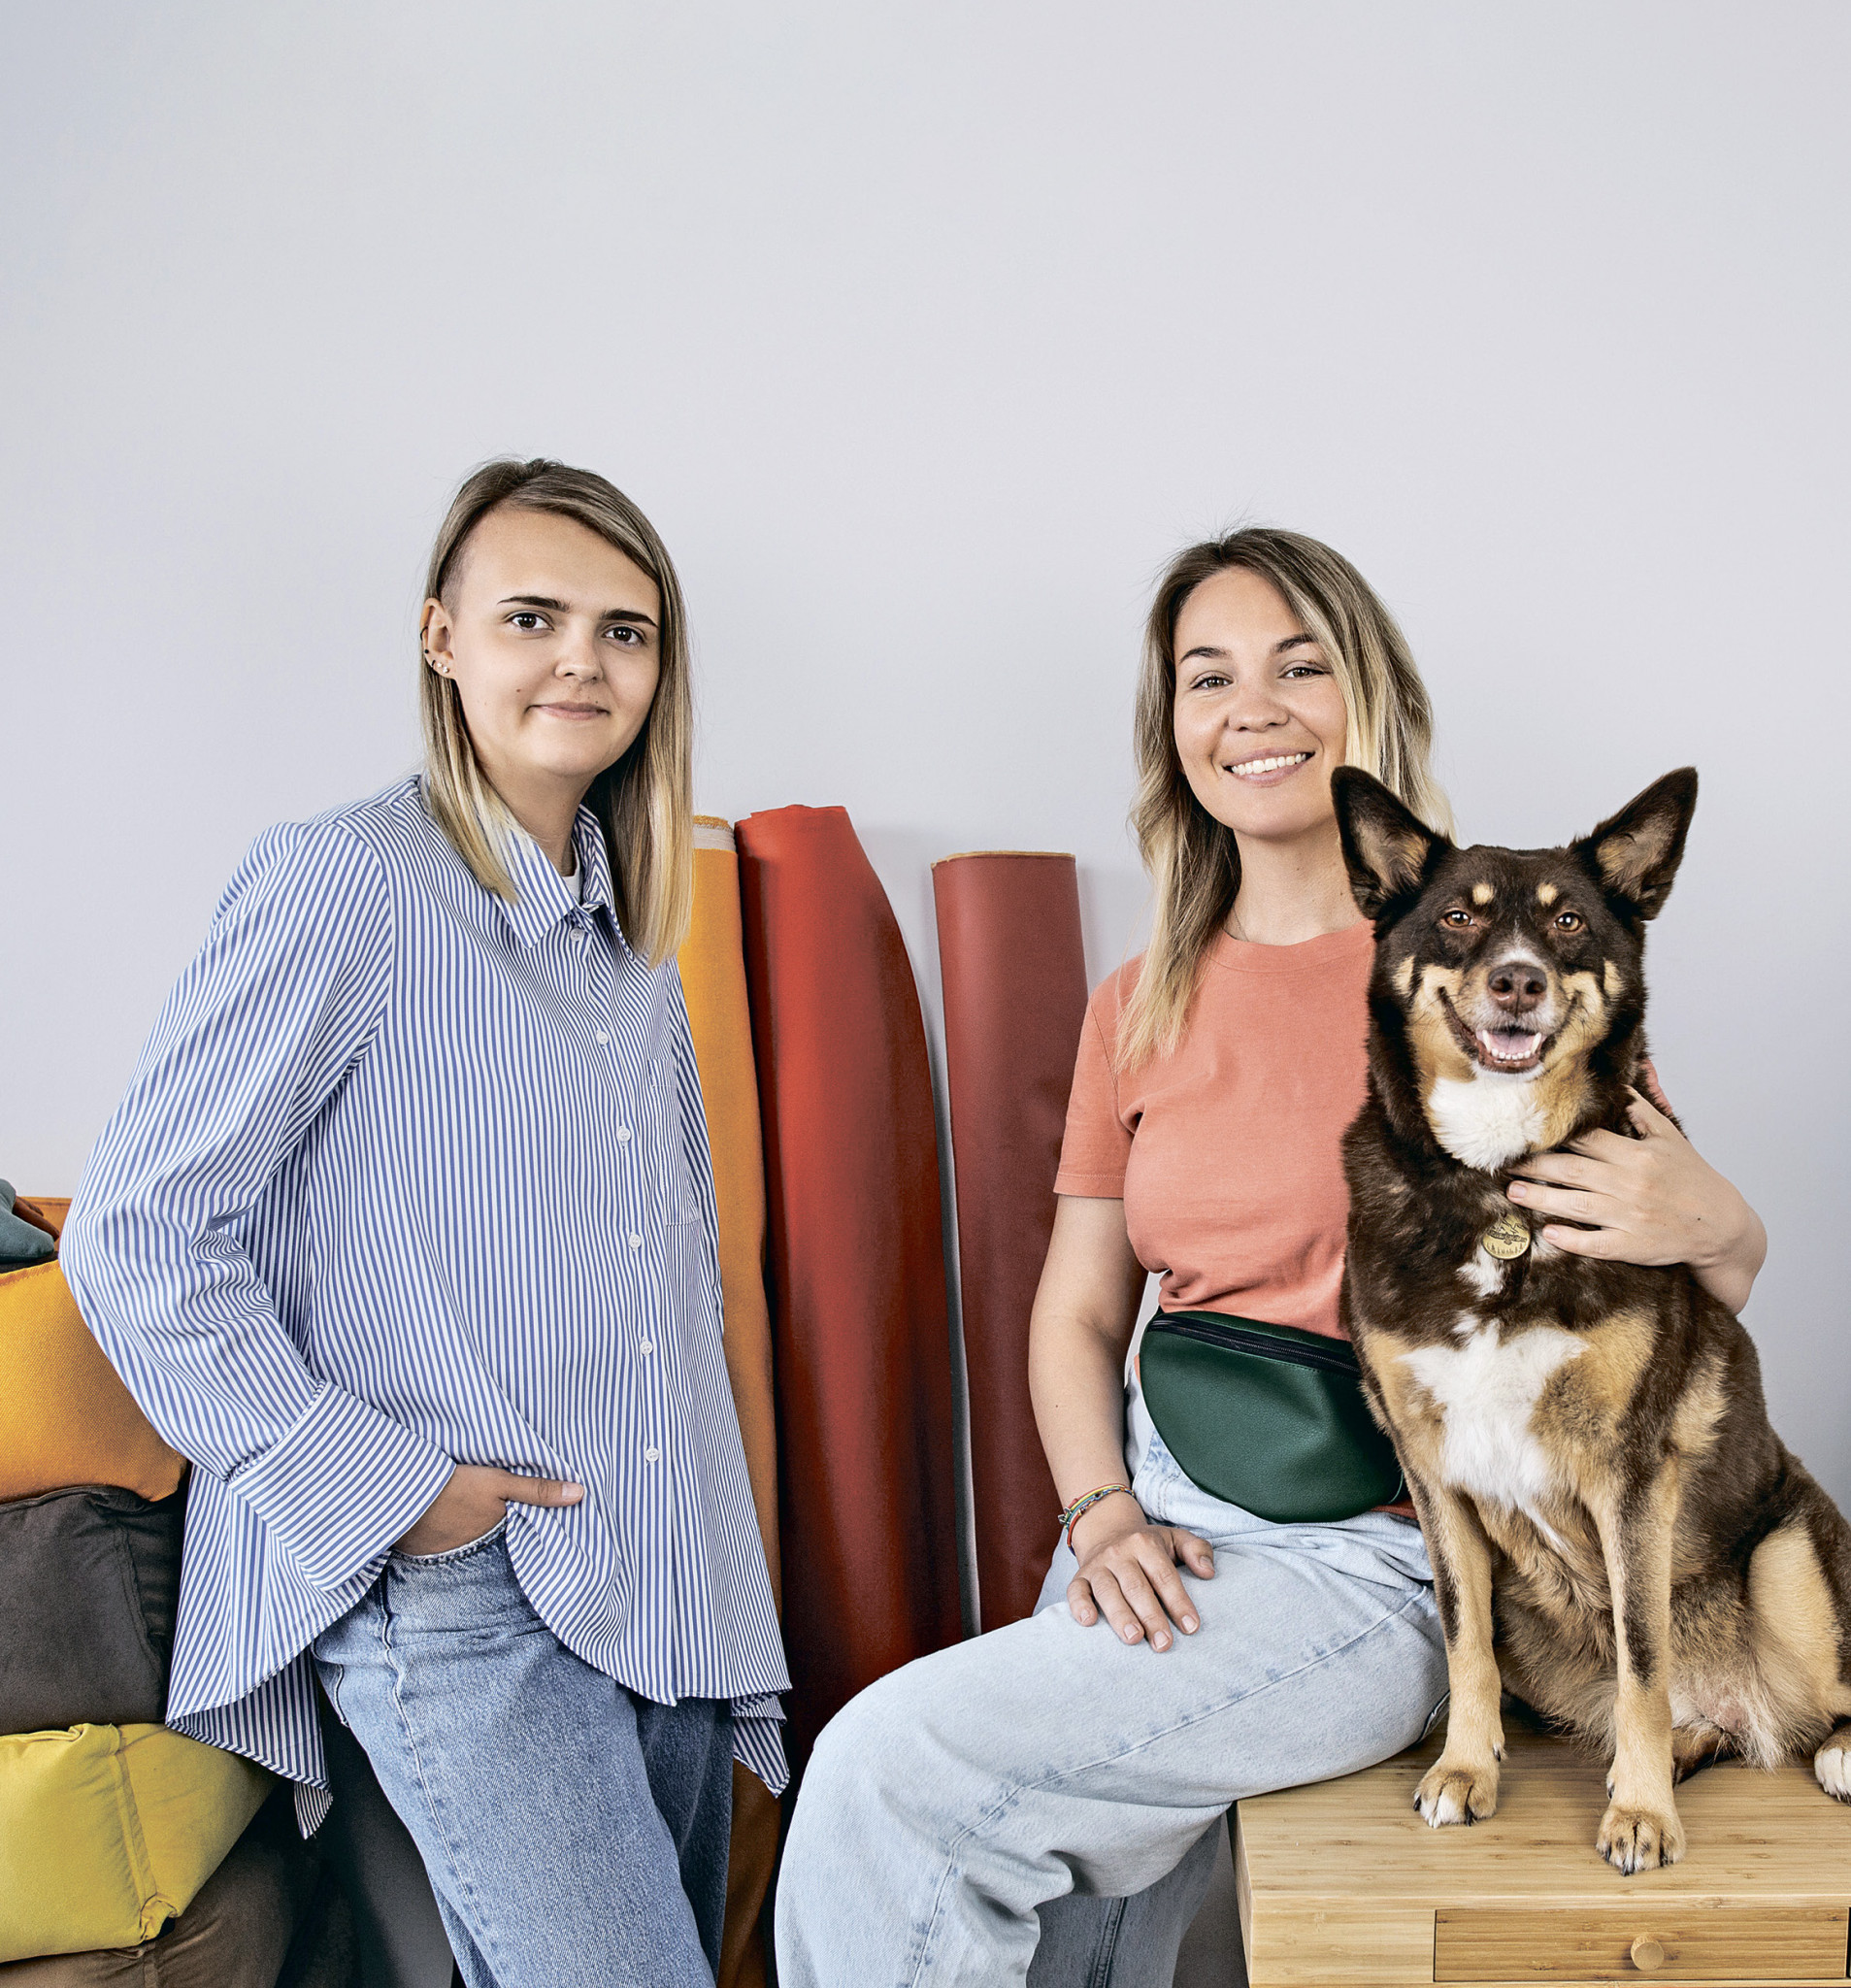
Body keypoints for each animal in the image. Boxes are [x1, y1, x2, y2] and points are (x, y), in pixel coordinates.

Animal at [1329, 764, 1851, 1874]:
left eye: (1566, 920)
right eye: (1456, 917)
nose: (1517, 981)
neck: (1498, 1189)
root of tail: (1756, 1714)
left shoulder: (1631, 1471)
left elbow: (1642, 1654)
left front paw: (1641, 1814)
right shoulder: (1431, 1471)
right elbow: (1465, 1641)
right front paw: (1465, 1768)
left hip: (1785, 1553)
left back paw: (1824, 1752)